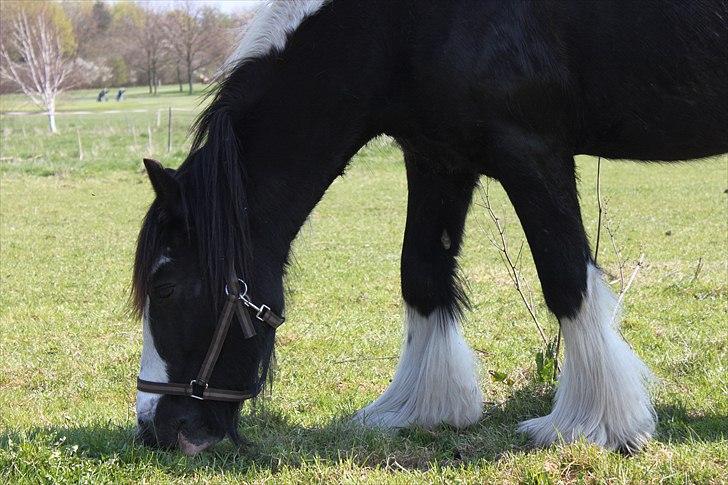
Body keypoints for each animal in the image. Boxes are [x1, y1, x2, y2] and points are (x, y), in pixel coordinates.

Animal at [131, 0, 728, 454]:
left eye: (165, 288)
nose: (157, 428)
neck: (404, 23)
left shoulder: (533, 153)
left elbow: (565, 281)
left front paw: (595, 424)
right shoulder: (438, 158)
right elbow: (421, 275)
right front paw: (422, 408)